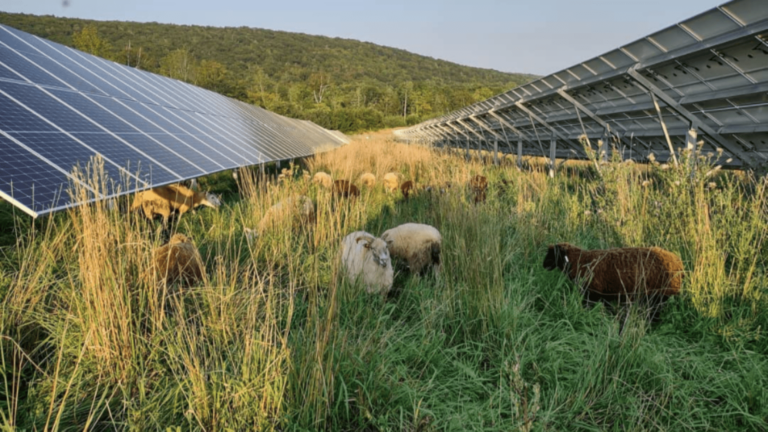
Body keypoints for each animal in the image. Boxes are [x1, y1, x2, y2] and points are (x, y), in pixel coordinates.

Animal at [540, 243, 684, 308]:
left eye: (554, 254)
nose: (543, 264)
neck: (580, 261)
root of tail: (678, 262)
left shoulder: (592, 294)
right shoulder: (605, 296)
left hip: (659, 296)